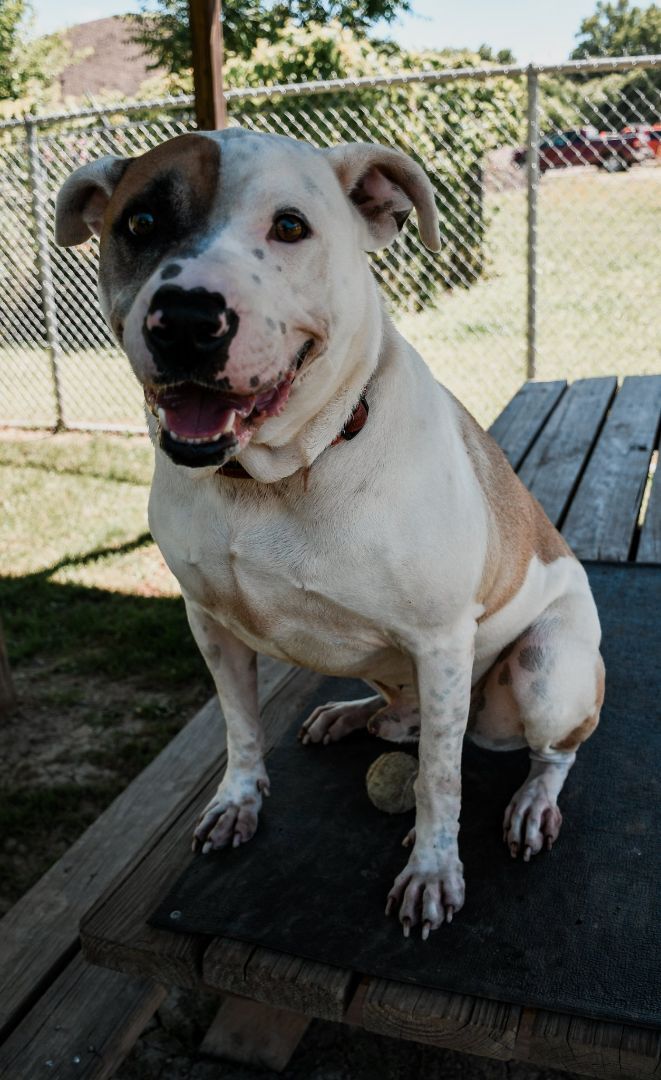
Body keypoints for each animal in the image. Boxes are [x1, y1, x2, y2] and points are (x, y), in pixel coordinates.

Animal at [56, 126, 604, 937]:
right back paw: (358, 715)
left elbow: (440, 780)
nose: (186, 319)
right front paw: (237, 801)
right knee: (407, 714)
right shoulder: (208, 622)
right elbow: (240, 725)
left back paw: (532, 800)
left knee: (547, 752)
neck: (272, 478)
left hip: (546, 669)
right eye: (141, 223)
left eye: (289, 226)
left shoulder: (441, 639)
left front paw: (432, 871)